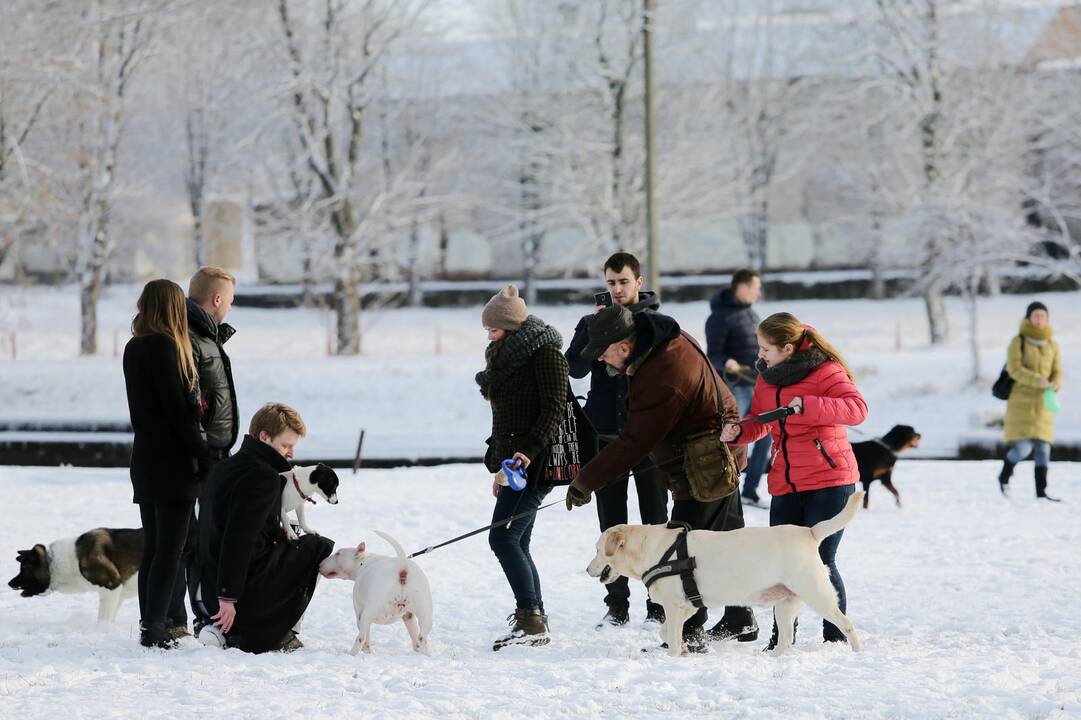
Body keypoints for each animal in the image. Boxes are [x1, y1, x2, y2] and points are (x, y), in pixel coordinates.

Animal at [7, 525, 142, 618]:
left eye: (24, 569)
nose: (9, 583)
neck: (53, 563)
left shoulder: (111, 587)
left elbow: (103, 619)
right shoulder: (117, 595)